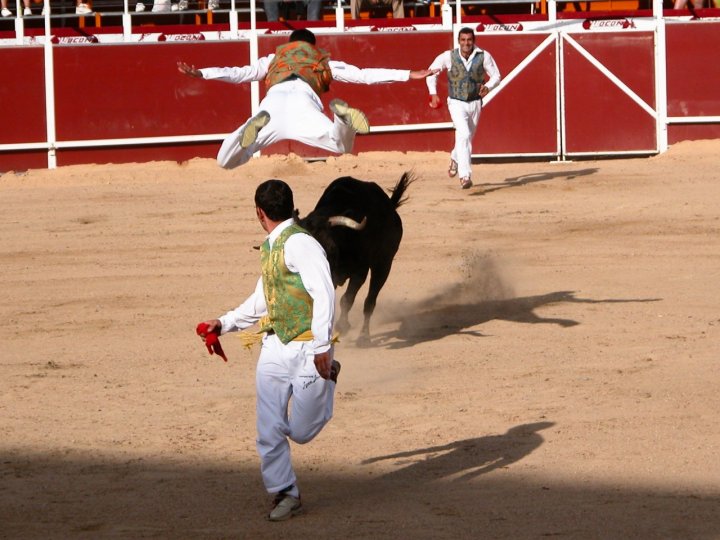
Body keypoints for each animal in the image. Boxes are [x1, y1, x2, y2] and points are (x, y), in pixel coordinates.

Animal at [296, 171, 414, 344]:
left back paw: (364, 337)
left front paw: (343, 326)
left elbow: (346, 299)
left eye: (329, 248)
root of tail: (391, 207)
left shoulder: (360, 272)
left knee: (370, 301)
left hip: (384, 264)